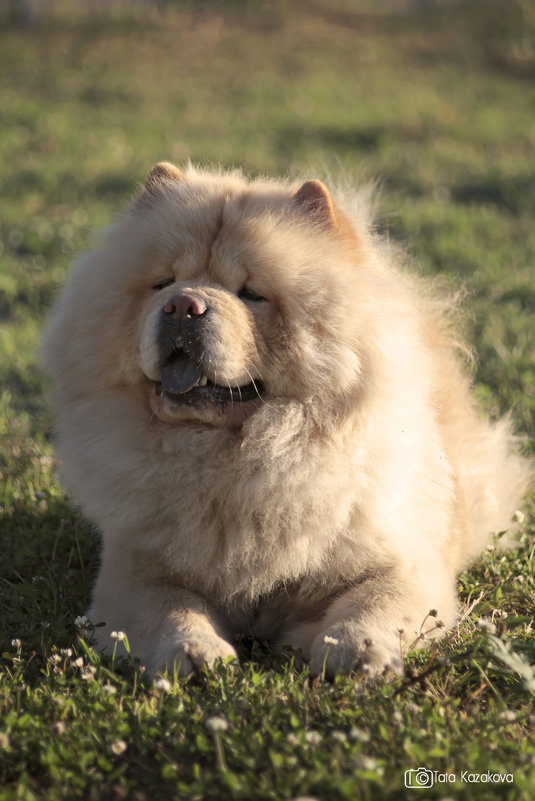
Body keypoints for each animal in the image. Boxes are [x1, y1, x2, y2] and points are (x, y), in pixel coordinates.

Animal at [42, 162, 532, 676]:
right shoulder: (134, 571)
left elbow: (375, 601)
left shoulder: (403, 563)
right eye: (163, 283)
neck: (234, 461)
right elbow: (171, 609)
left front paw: (358, 650)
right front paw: (196, 654)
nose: (182, 305)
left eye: (252, 294)